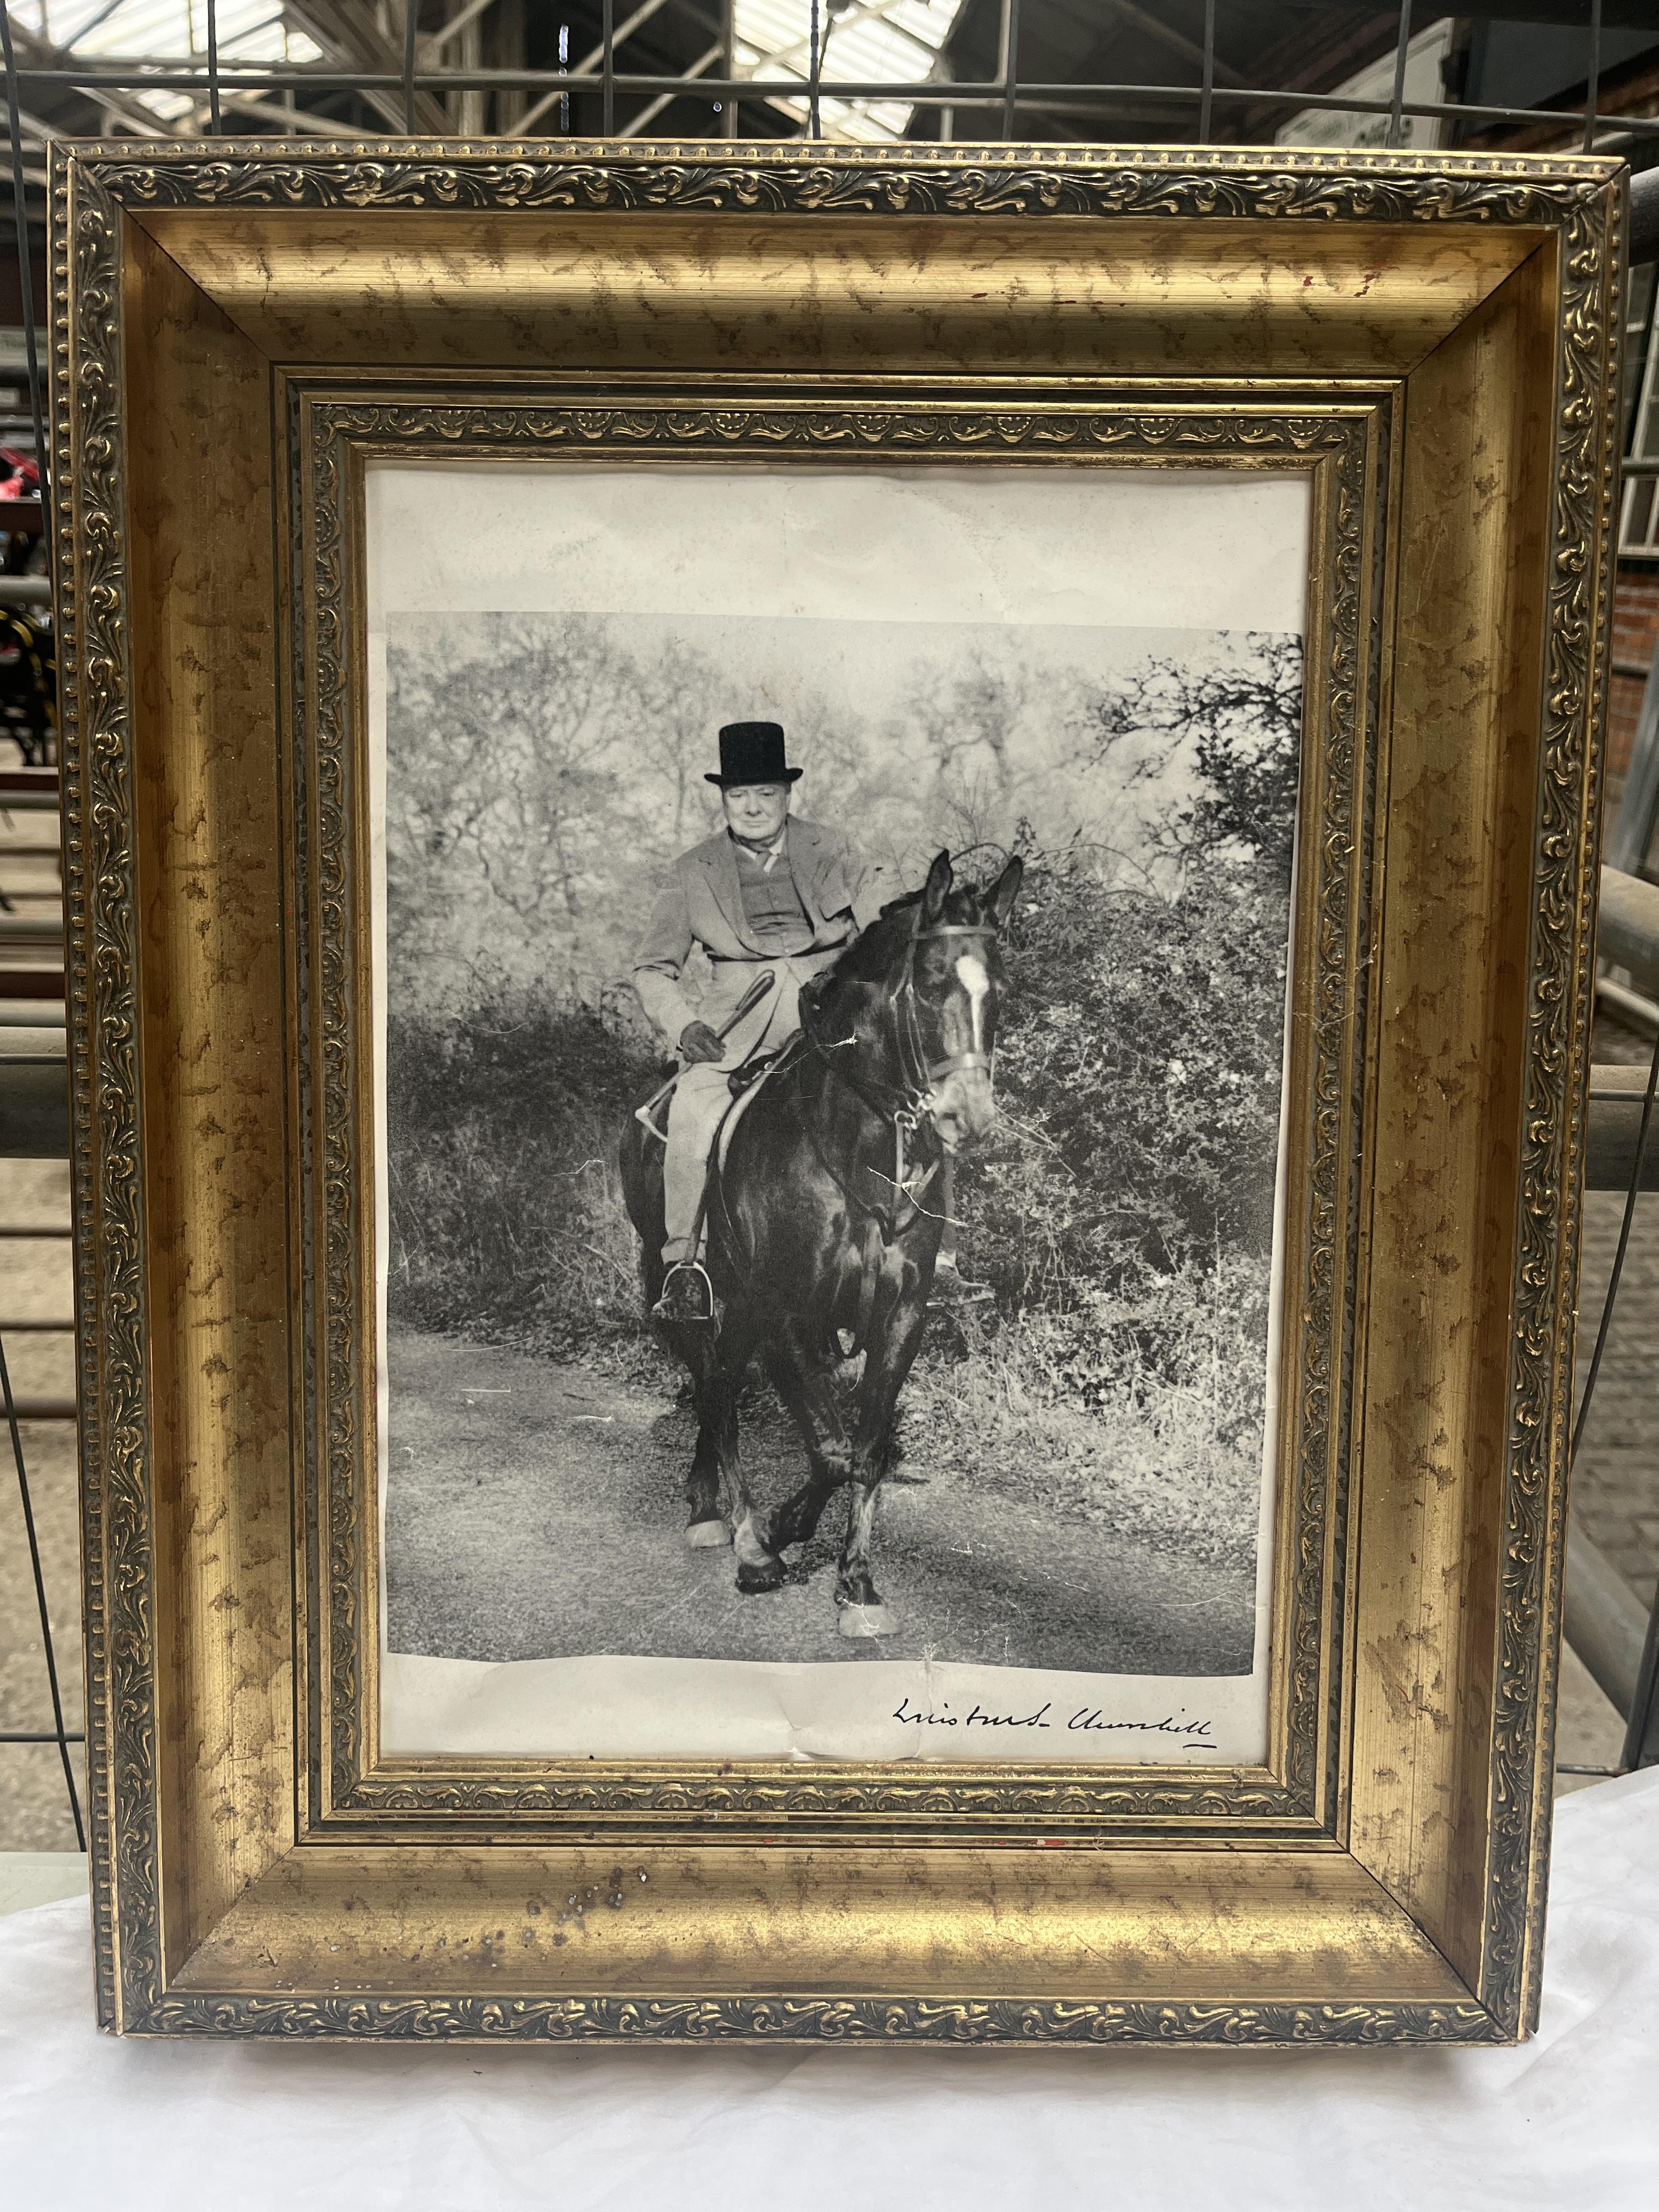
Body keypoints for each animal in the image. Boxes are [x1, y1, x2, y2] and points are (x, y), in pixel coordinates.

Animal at [619, 854, 1022, 1637]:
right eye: (931, 983)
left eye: (1002, 988)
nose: (969, 1118)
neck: (851, 1143)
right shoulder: (786, 1313)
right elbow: (830, 1451)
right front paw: (772, 1538)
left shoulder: (899, 1316)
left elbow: (864, 1451)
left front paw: (857, 1585)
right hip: (686, 1288)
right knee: (714, 1393)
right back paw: (729, 1528)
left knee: (723, 1391)